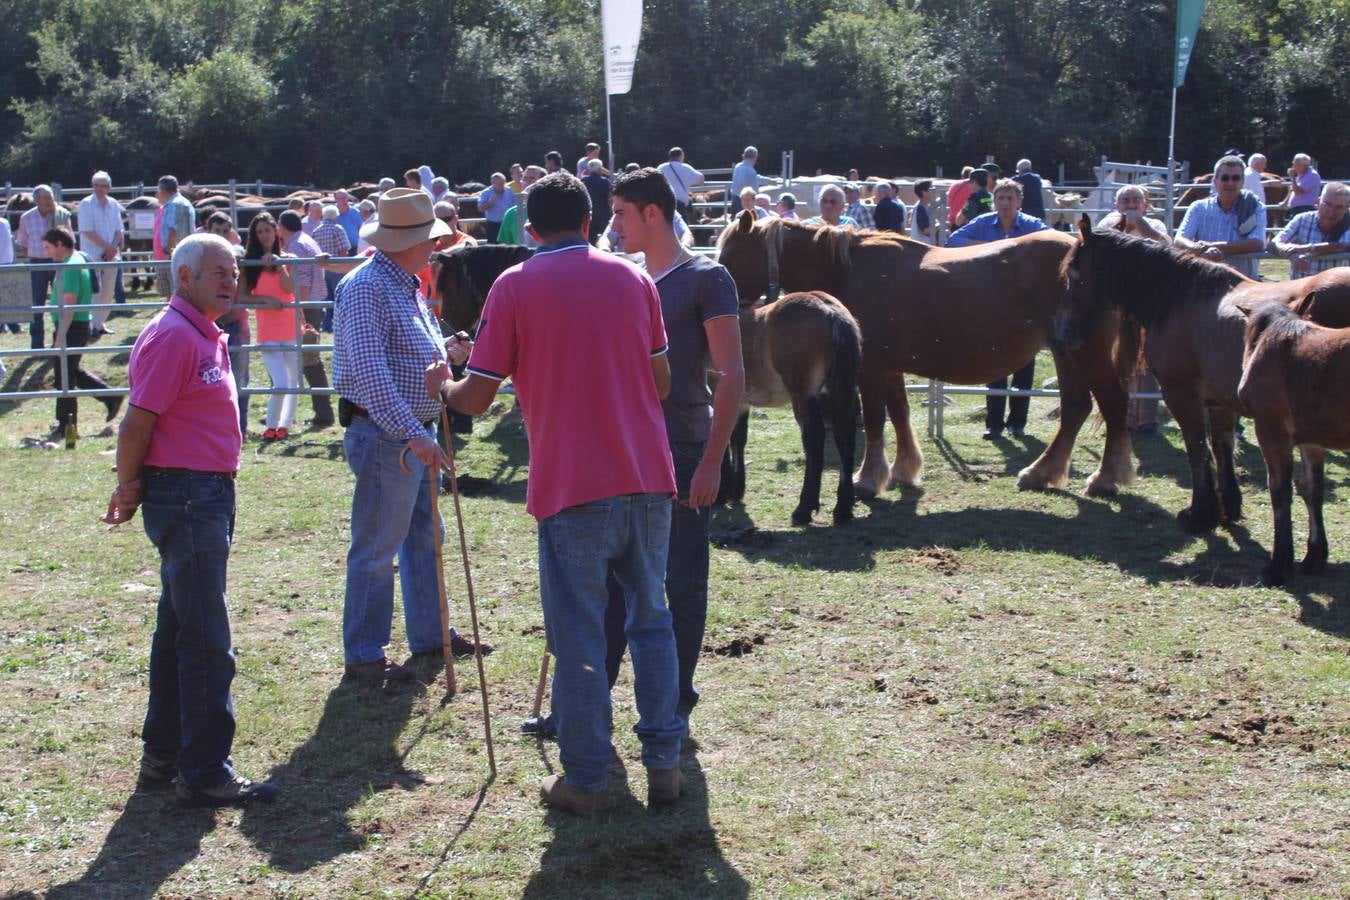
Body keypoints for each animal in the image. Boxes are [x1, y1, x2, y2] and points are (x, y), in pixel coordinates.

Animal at [712, 215, 1134, 504]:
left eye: (729, 255)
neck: (848, 269)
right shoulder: (890, 367)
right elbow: (900, 414)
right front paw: (903, 471)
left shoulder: (870, 368)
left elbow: (875, 419)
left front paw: (868, 479)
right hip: (1066, 352)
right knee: (1076, 408)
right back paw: (1041, 472)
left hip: (1086, 353)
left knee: (1112, 404)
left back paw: (1105, 478)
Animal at [723, 288, 858, 528]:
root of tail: (830, 311)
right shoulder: (741, 403)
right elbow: (737, 439)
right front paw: (735, 489)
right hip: (840, 393)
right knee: (845, 437)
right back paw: (843, 508)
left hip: (804, 395)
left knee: (814, 440)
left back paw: (803, 509)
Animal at [1053, 218, 1350, 534]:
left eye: (1072, 272)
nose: (1062, 332)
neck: (1181, 298)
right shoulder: (1220, 400)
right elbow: (1222, 447)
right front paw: (1228, 507)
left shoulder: (1180, 393)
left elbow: (1197, 449)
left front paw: (1199, 513)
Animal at [1236, 302, 1350, 585]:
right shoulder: (1313, 440)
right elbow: (1311, 490)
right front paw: (1314, 558)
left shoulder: (1271, 431)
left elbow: (1279, 492)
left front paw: (1278, 566)